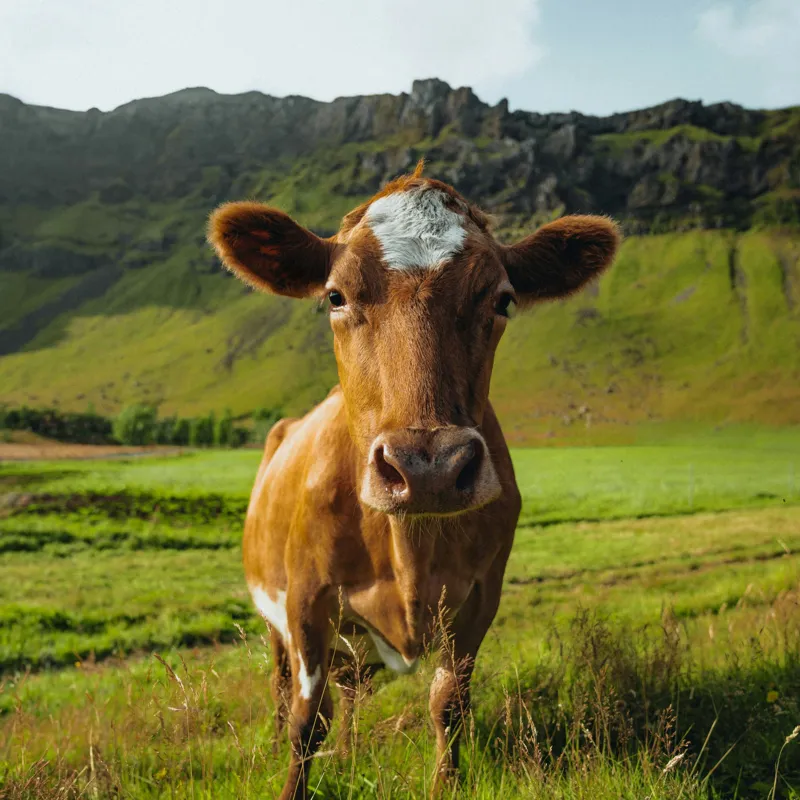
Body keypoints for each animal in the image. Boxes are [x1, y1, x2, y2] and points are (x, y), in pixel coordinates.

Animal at [208, 162, 620, 799]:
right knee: (282, 685)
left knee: (352, 691)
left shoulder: (479, 599)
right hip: (274, 614)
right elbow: (307, 719)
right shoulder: (305, 602)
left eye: (503, 299)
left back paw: (351, 752)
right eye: (335, 295)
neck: (409, 549)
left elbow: (448, 704)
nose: (428, 469)